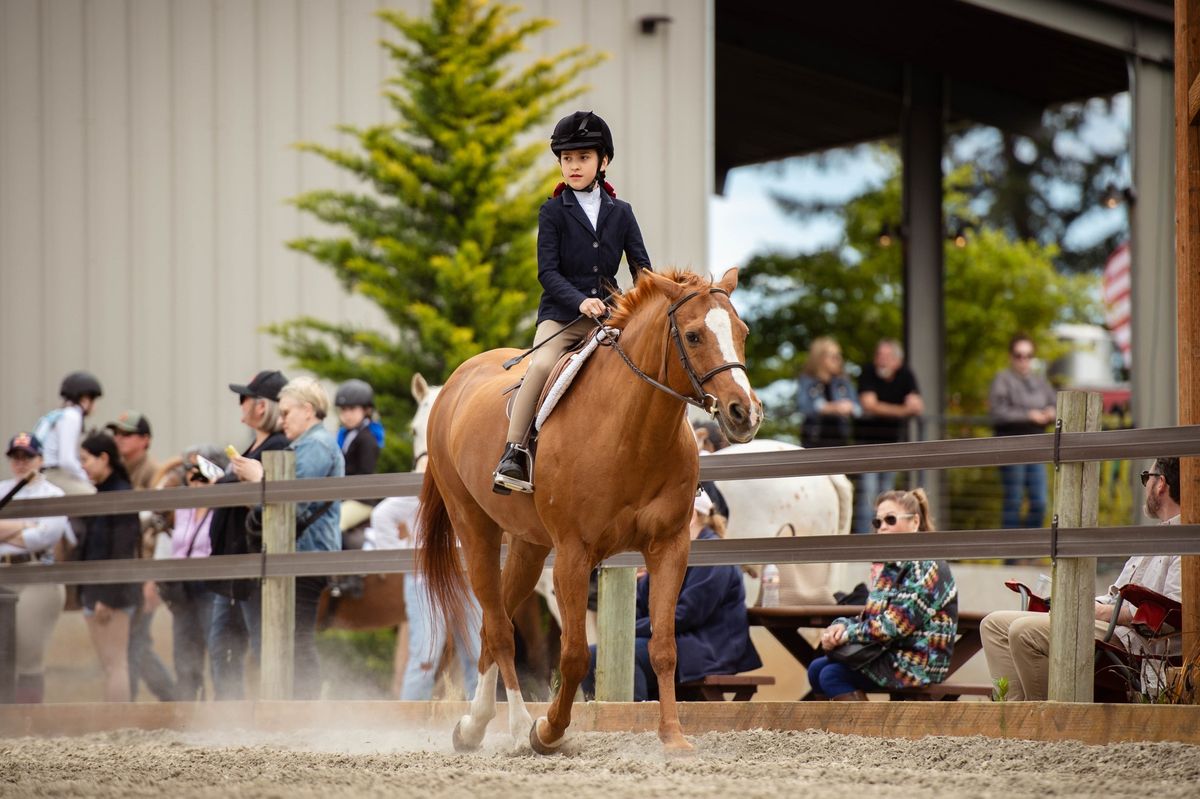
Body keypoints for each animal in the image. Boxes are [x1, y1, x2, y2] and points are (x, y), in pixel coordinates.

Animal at [420, 268, 758, 753]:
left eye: (742, 332)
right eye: (693, 335)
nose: (744, 413)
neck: (632, 431)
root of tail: (454, 383)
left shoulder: (670, 547)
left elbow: (664, 648)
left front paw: (673, 737)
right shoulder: (574, 555)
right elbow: (575, 654)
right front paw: (548, 731)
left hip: (528, 546)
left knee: (492, 625)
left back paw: (474, 725)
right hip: (475, 527)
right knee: (501, 631)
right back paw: (516, 725)